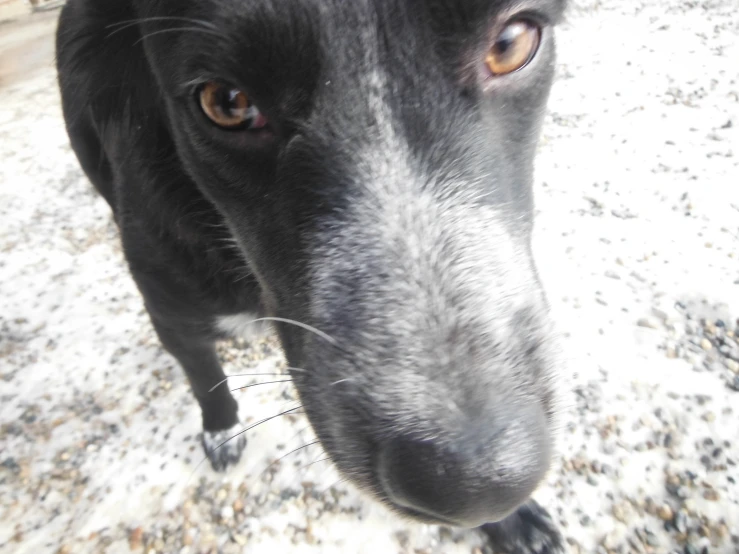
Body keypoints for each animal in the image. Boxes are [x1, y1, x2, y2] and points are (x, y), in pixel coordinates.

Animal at [57, 0, 568, 548]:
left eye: (510, 45)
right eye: (227, 103)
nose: (479, 483)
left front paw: (510, 519)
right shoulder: (171, 314)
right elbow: (206, 379)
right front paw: (222, 431)